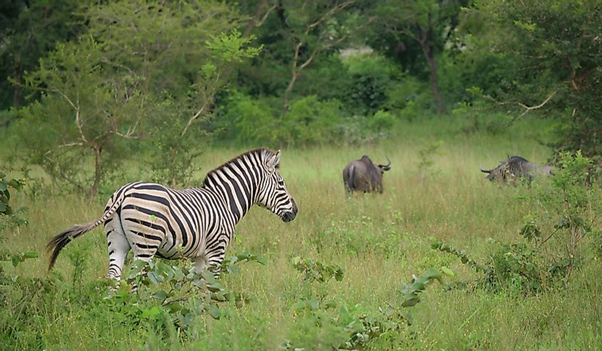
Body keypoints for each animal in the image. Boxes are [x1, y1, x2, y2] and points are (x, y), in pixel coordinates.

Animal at [47, 148, 298, 284]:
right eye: (281, 183)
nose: (295, 212)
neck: (224, 200)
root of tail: (124, 191)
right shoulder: (217, 249)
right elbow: (212, 285)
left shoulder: (199, 255)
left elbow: (198, 286)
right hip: (145, 244)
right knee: (134, 278)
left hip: (116, 242)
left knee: (113, 276)